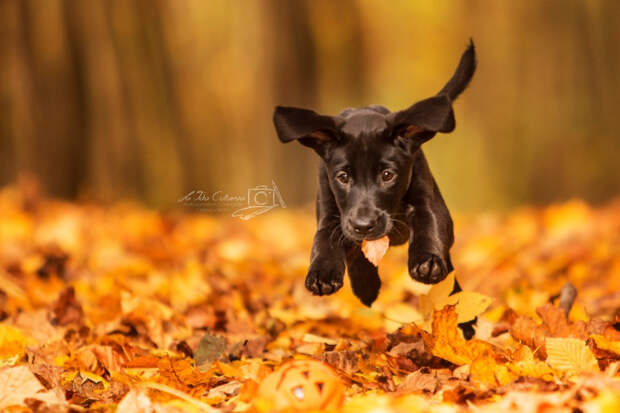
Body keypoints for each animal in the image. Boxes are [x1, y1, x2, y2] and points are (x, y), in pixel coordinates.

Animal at [274, 40, 478, 336]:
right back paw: (366, 286)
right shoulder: (332, 211)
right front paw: (324, 272)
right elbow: (325, 238)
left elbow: (429, 223)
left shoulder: (429, 201)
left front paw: (427, 261)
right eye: (343, 177)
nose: (364, 225)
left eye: (387, 175)